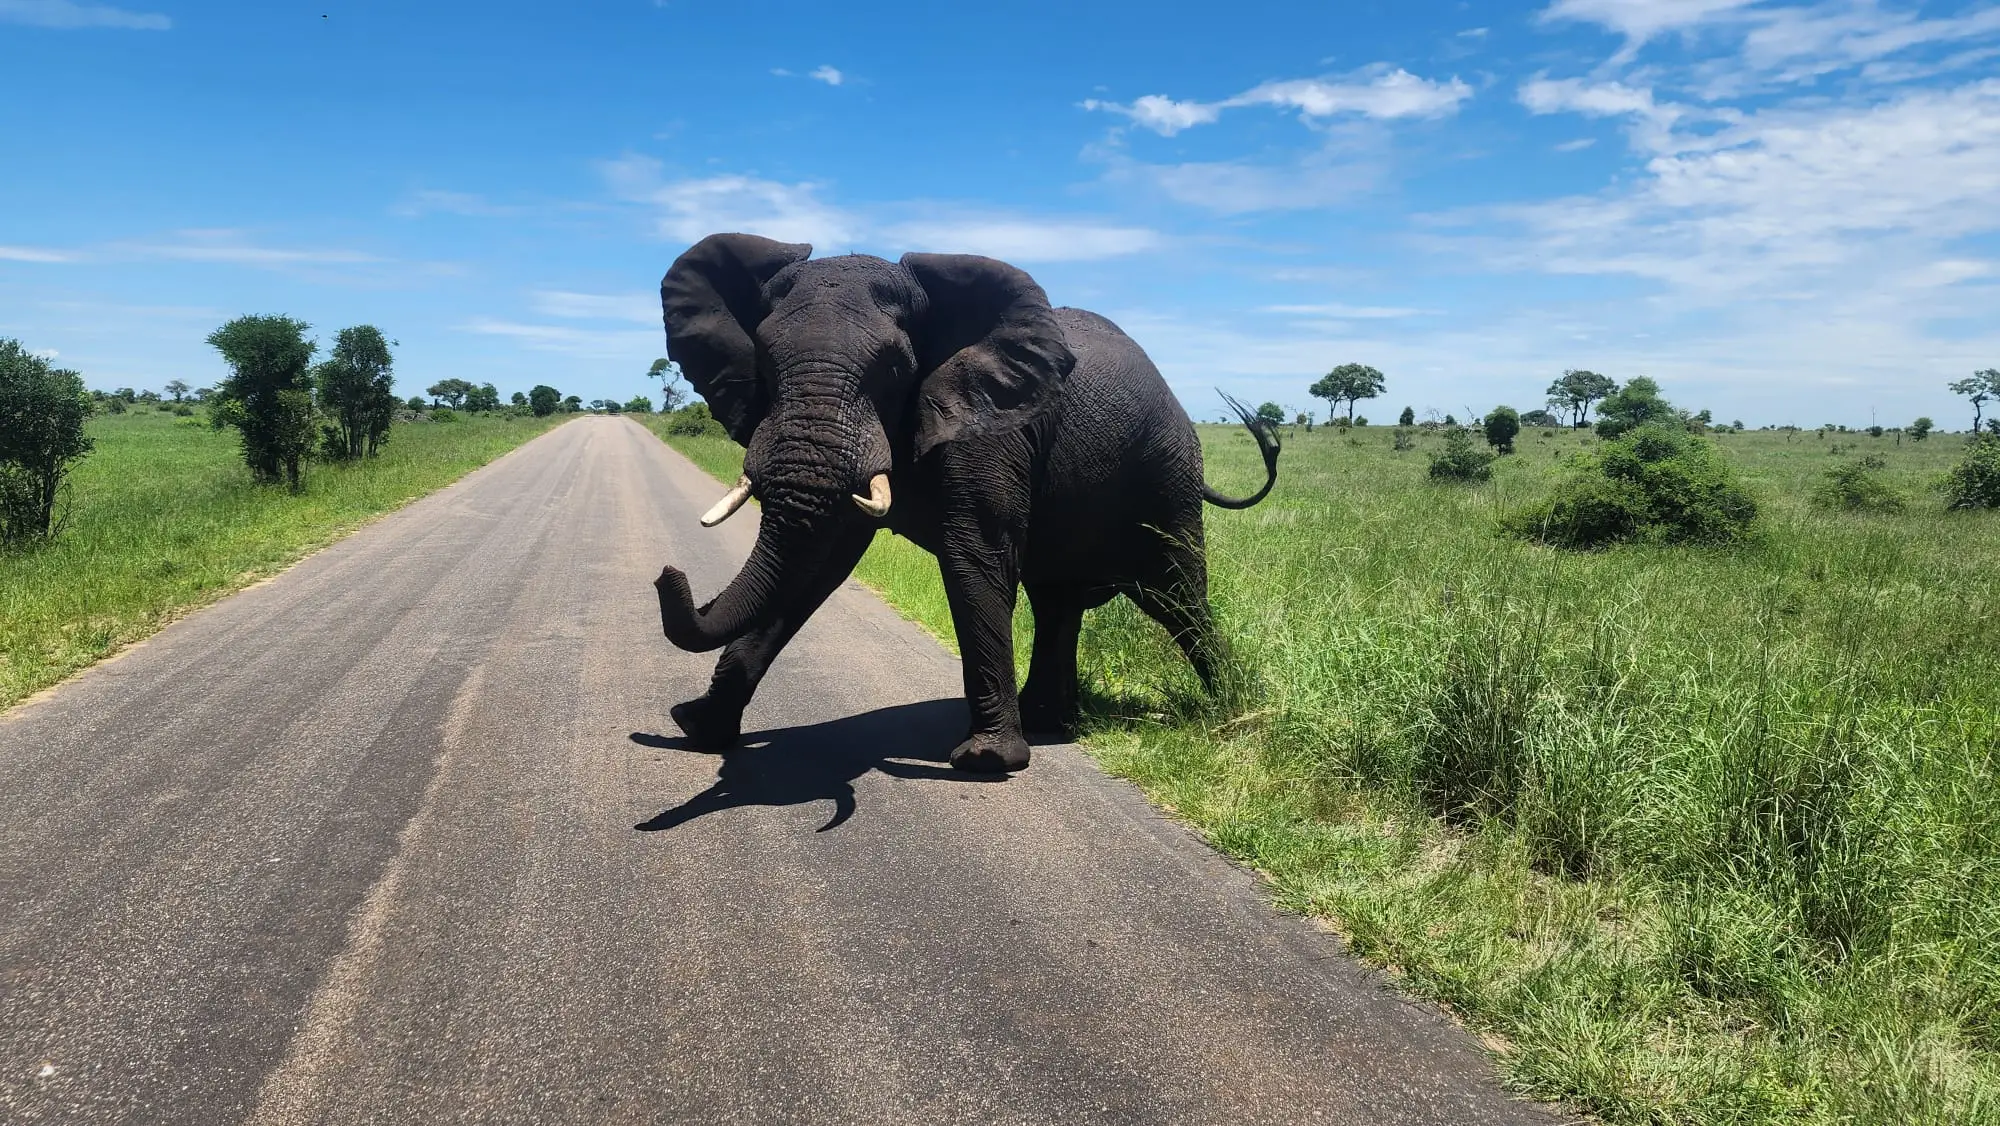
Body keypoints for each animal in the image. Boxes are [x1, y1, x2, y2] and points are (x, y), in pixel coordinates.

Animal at [653, 232, 1280, 773]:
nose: (667, 575)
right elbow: (819, 561)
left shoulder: (990, 423)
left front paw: (987, 761)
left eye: (895, 366)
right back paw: (1048, 722)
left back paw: (1235, 714)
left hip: (1166, 474)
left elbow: (973, 552)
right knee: (1060, 601)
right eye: (763, 360)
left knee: (1178, 595)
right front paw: (698, 729)